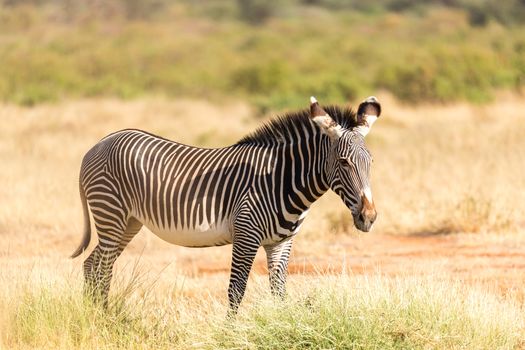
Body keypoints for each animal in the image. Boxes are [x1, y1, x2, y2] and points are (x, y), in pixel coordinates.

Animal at [70, 95, 380, 312]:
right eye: (344, 162)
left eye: (371, 162)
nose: (369, 217)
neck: (280, 179)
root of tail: (99, 143)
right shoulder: (246, 235)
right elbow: (236, 290)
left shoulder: (281, 242)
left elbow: (279, 292)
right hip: (111, 214)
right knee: (102, 268)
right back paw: (102, 319)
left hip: (128, 223)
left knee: (93, 264)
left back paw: (98, 317)